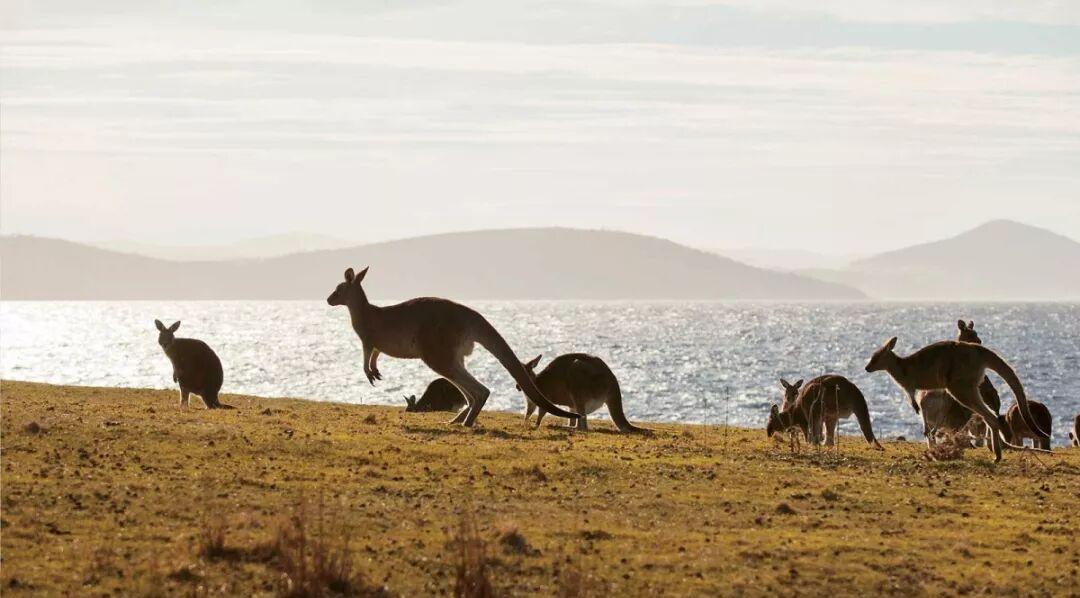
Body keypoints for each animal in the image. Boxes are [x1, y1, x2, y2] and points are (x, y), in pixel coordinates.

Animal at [326, 267, 578, 427]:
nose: (328, 300)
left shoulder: (368, 339)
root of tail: (470, 316)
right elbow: (375, 356)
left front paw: (369, 374)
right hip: (455, 355)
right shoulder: (376, 345)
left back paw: (466, 423)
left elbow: (366, 355)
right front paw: (376, 372)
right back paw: (458, 420)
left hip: (437, 351)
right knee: (472, 390)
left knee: (480, 390)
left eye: (338, 289)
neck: (364, 311)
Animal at [864, 336, 1048, 462]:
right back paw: (997, 456)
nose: (866, 368)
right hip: (969, 384)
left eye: (875, 357)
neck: (900, 366)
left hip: (960, 385)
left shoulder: (909, 383)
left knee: (988, 415)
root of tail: (978, 351)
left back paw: (996, 455)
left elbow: (911, 394)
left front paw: (915, 407)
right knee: (989, 415)